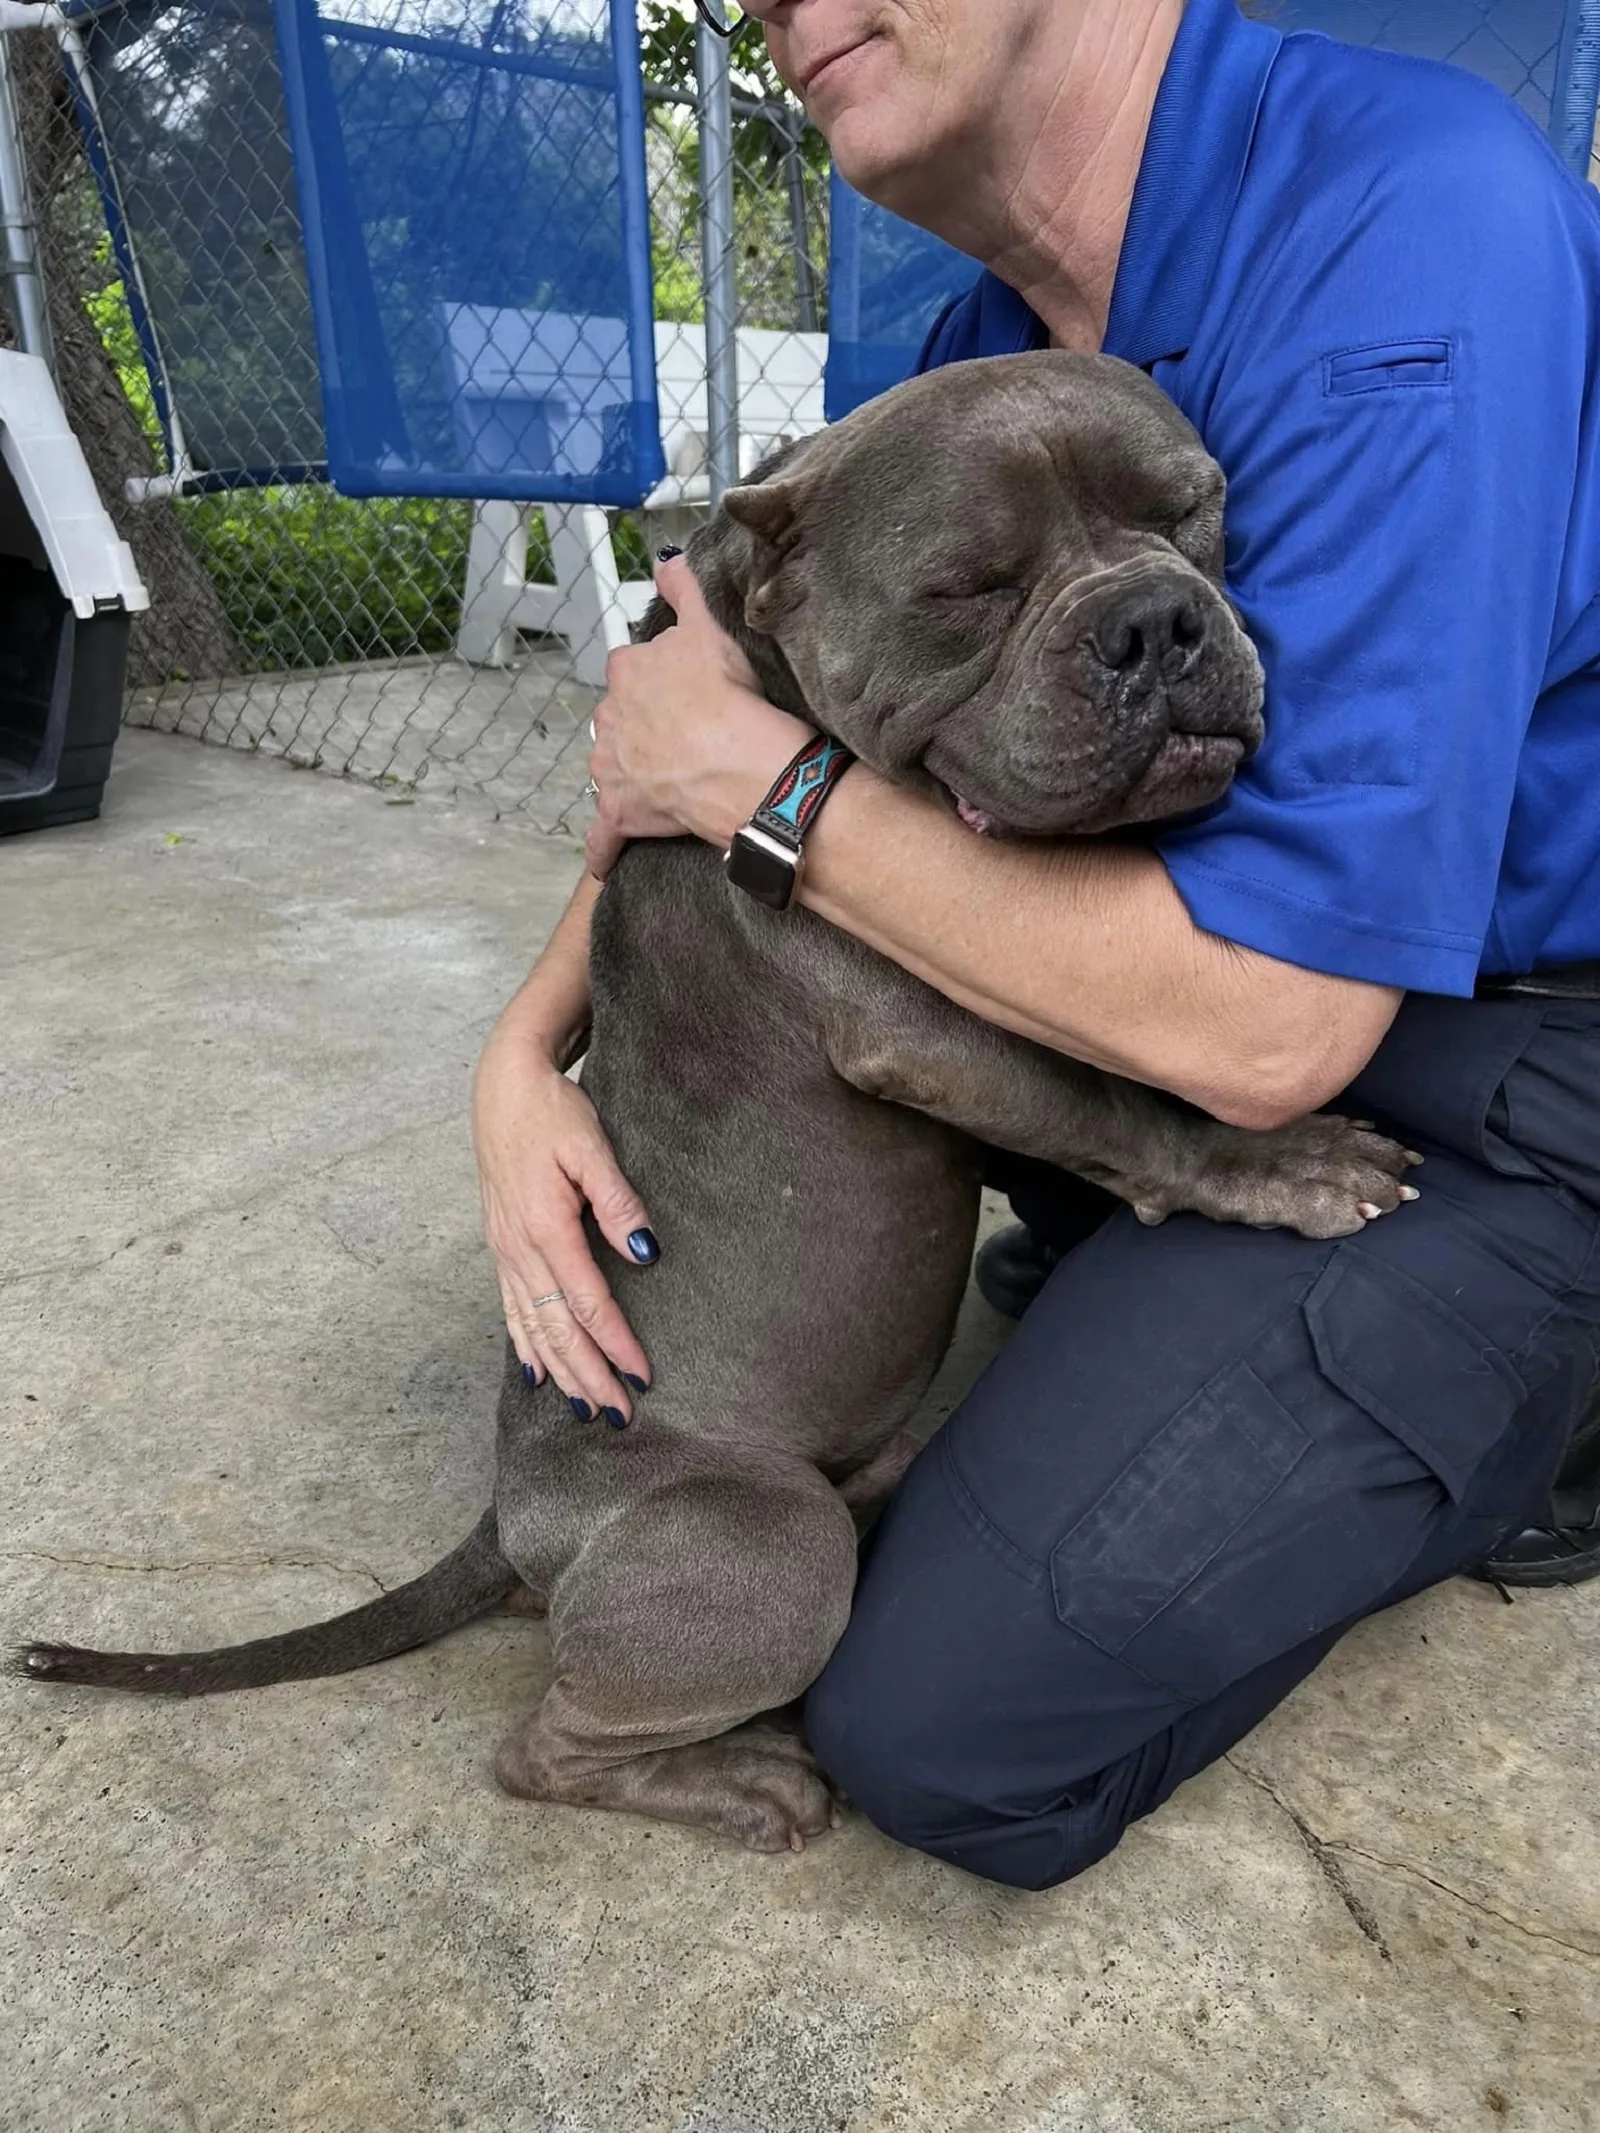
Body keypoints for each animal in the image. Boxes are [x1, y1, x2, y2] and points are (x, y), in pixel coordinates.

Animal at [21, 354, 1425, 1851]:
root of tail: (510, 1521)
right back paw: (752, 1781)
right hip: (765, 1540)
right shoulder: (930, 1029)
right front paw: (1282, 1166)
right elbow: (1118, 1108)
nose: (1155, 619)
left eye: (1193, 510)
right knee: (546, 1749)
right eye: (967, 587)